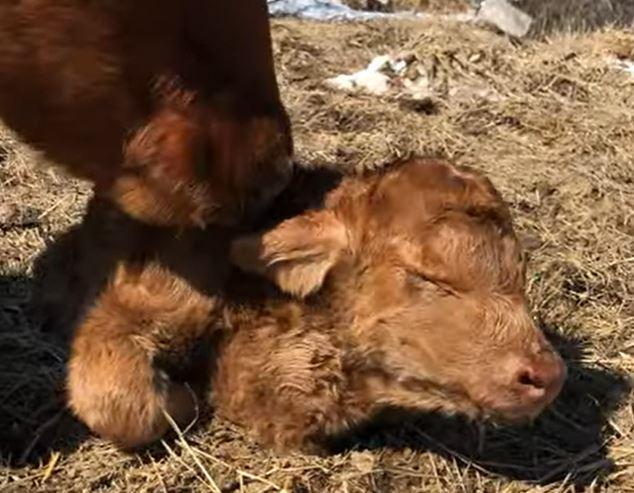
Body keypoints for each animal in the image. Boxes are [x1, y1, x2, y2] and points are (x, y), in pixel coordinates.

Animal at [39, 157, 564, 450]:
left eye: (519, 275)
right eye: (428, 276)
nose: (547, 375)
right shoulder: (141, 303)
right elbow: (120, 401)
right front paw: (185, 398)